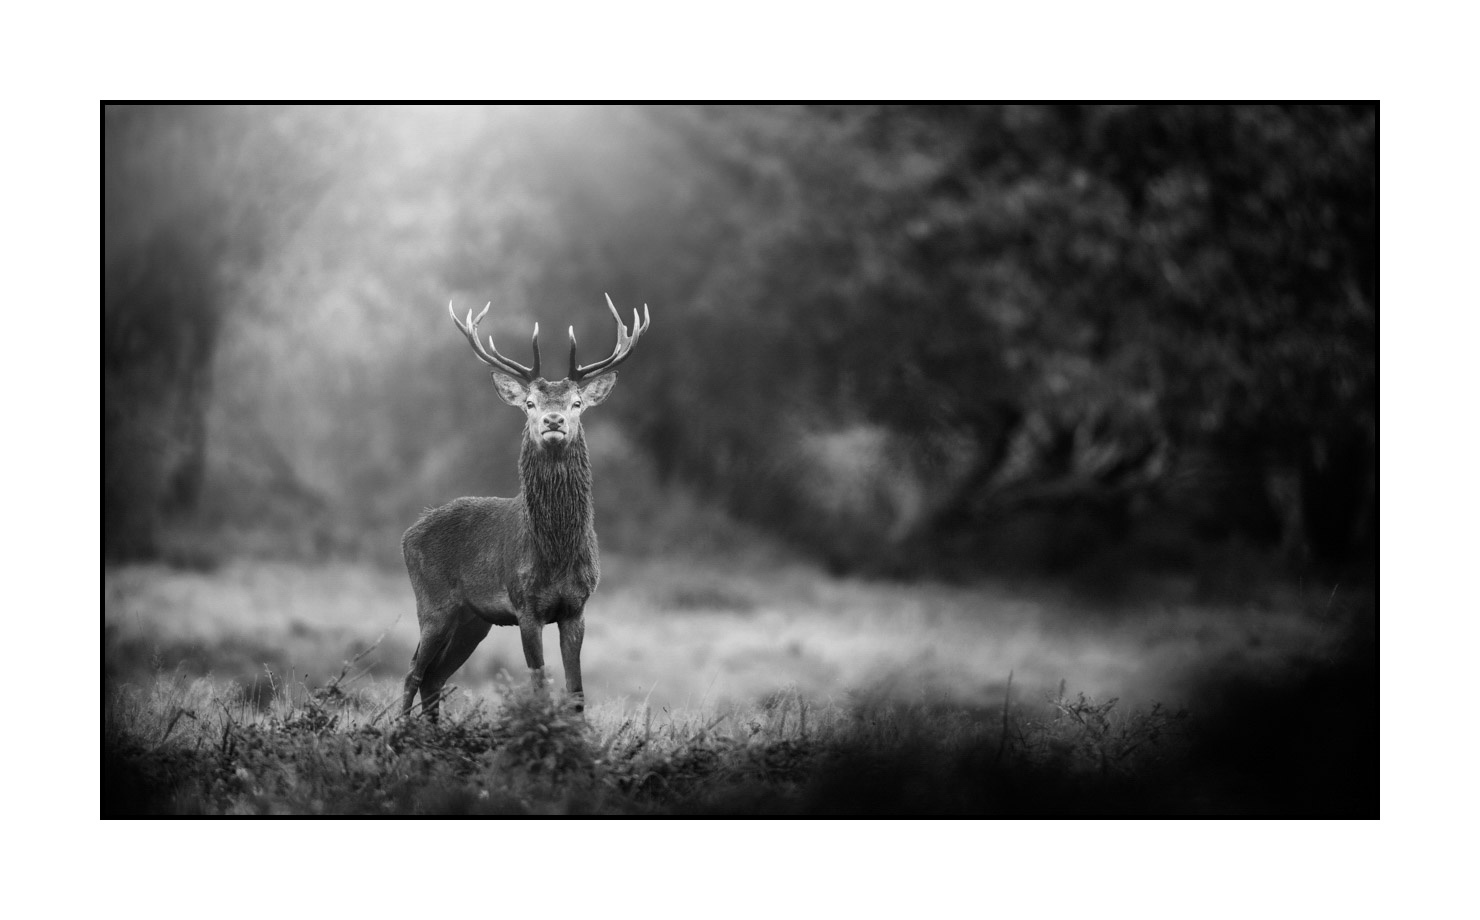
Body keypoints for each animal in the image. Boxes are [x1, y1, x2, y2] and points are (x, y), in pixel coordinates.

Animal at [400, 294, 650, 720]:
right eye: (530, 402)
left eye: (577, 402)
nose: (553, 420)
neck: (556, 553)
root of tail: (407, 535)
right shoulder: (525, 606)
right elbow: (539, 686)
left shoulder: (576, 608)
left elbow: (576, 692)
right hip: (433, 603)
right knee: (413, 673)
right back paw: (399, 731)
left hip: (473, 620)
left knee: (434, 677)